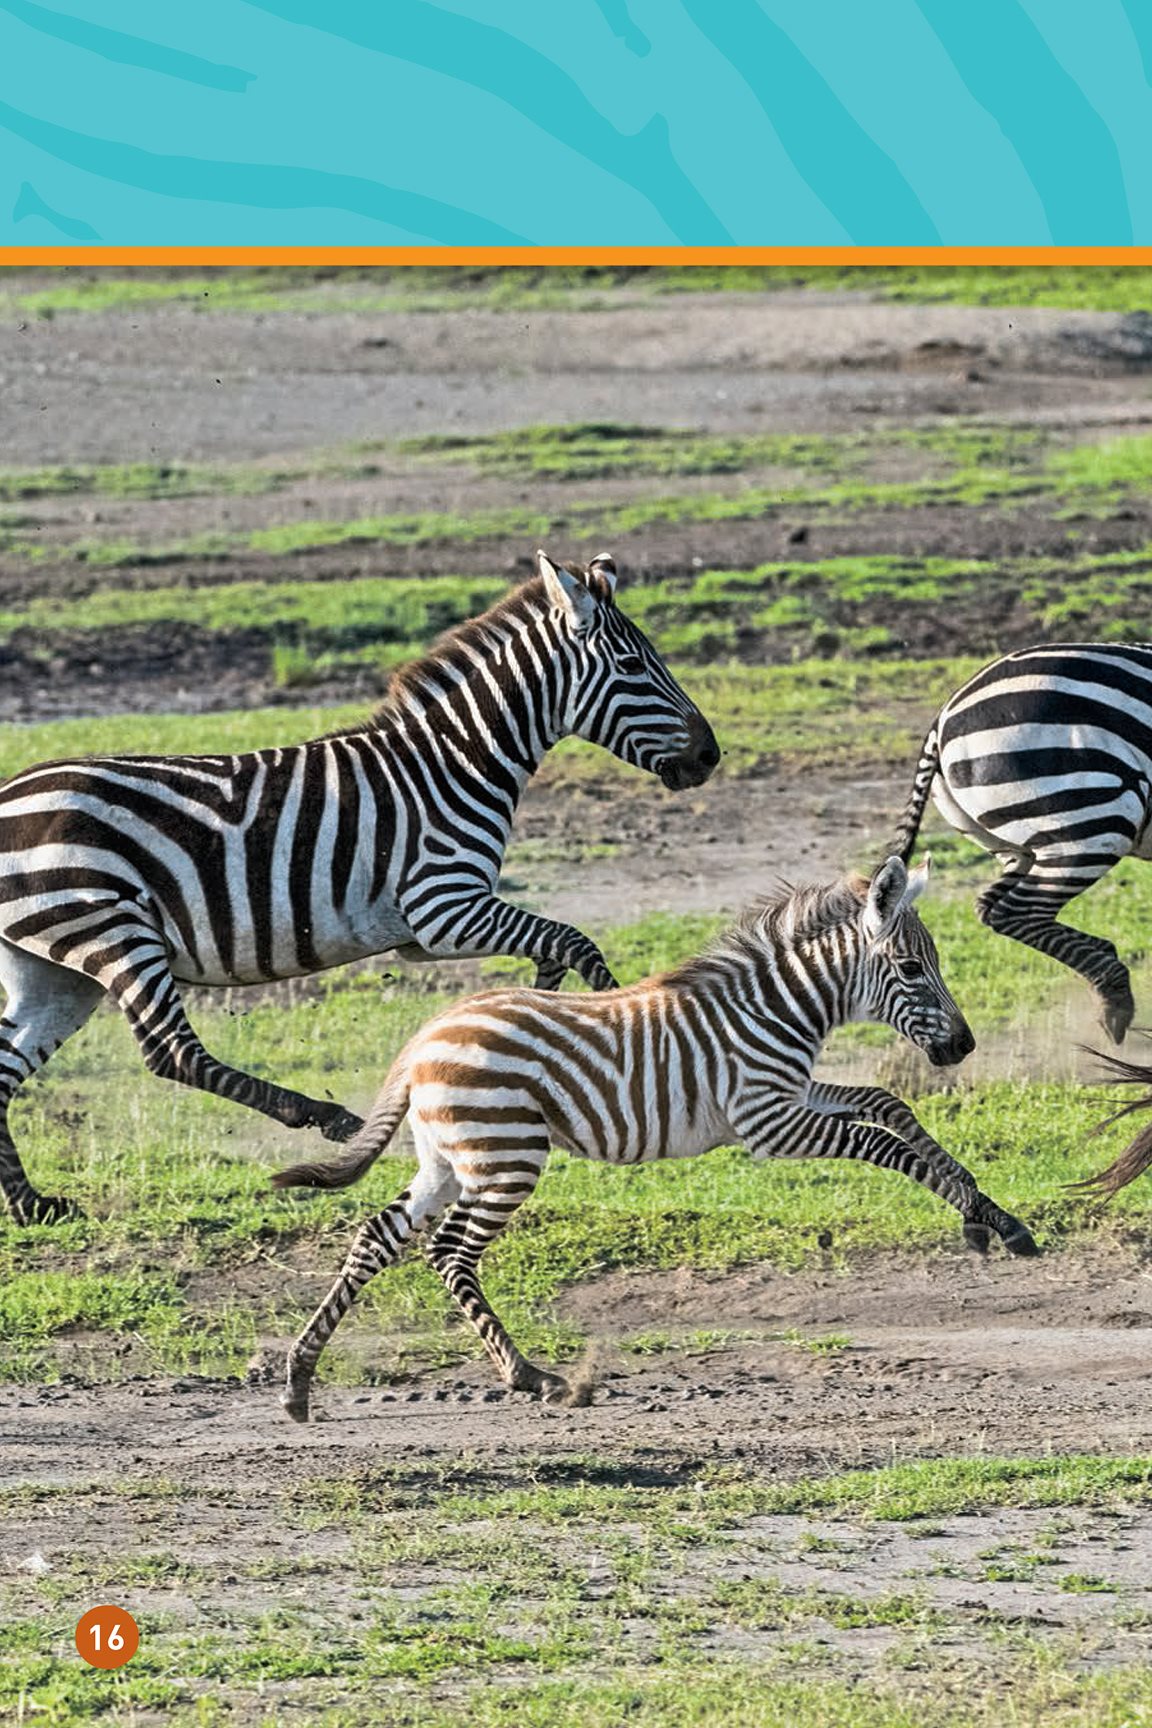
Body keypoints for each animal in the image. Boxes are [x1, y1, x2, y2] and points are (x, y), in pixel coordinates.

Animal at [0, 552, 721, 1230]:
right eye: (631, 665)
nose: (710, 757)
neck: (455, 762)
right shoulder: (442, 907)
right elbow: (574, 940)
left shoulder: (429, 931)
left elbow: (554, 947)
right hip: (112, 927)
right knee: (171, 1050)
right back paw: (325, 1118)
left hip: (55, 967)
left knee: (7, 1068)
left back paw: (32, 1206)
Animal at [274, 857, 1043, 1423]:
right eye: (912, 969)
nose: (964, 1047)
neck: (779, 1012)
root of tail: (425, 1034)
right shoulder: (767, 1120)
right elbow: (888, 1147)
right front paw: (980, 1216)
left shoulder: (790, 1096)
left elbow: (890, 1107)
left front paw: (993, 1217)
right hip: (506, 1153)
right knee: (450, 1251)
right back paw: (531, 1377)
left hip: (448, 1158)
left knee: (378, 1236)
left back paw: (299, 1381)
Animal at [891, 646, 1152, 1036]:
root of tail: (943, 717)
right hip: (1091, 821)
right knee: (1018, 910)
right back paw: (1114, 997)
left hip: (1022, 845)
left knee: (991, 907)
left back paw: (1108, 980)